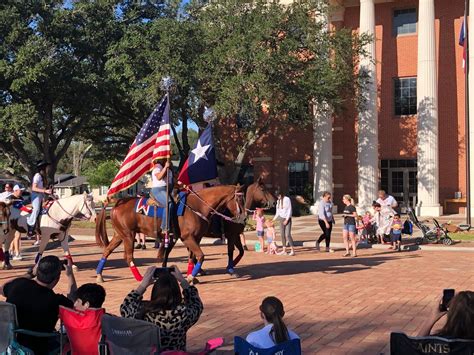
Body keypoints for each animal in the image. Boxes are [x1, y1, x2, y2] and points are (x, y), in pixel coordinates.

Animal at [94, 185, 246, 282]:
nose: (243, 217)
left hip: (120, 235)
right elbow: (201, 256)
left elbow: (192, 258)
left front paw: (192, 276)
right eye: (239, 199)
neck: (197, 207)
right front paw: (191, 277)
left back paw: (99, 275)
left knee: (107, 251)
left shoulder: (195, 238)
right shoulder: (188, 238)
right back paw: (140, 278)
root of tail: (118, 201)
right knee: (128, 256)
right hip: (128, 235)